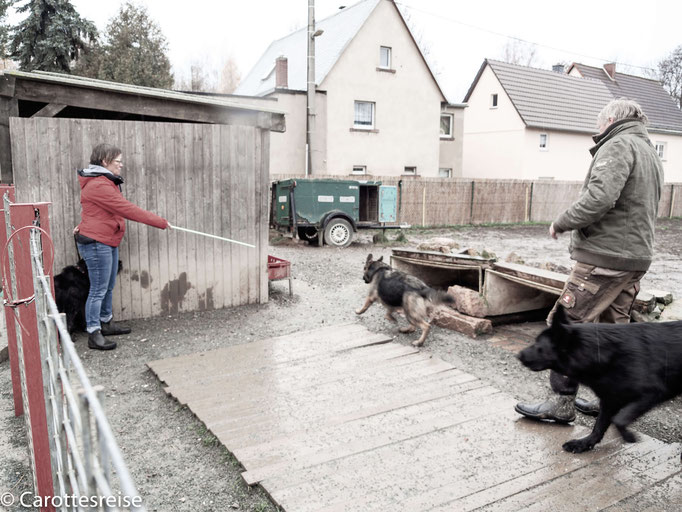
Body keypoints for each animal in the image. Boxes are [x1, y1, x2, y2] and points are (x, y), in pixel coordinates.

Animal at [516, 304, 676, 452]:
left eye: (538, 344)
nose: (518, 355)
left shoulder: (652, 393)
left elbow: (619, 420)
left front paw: (629, 436)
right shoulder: (609, 399)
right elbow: (599, 425)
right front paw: (583, 444)